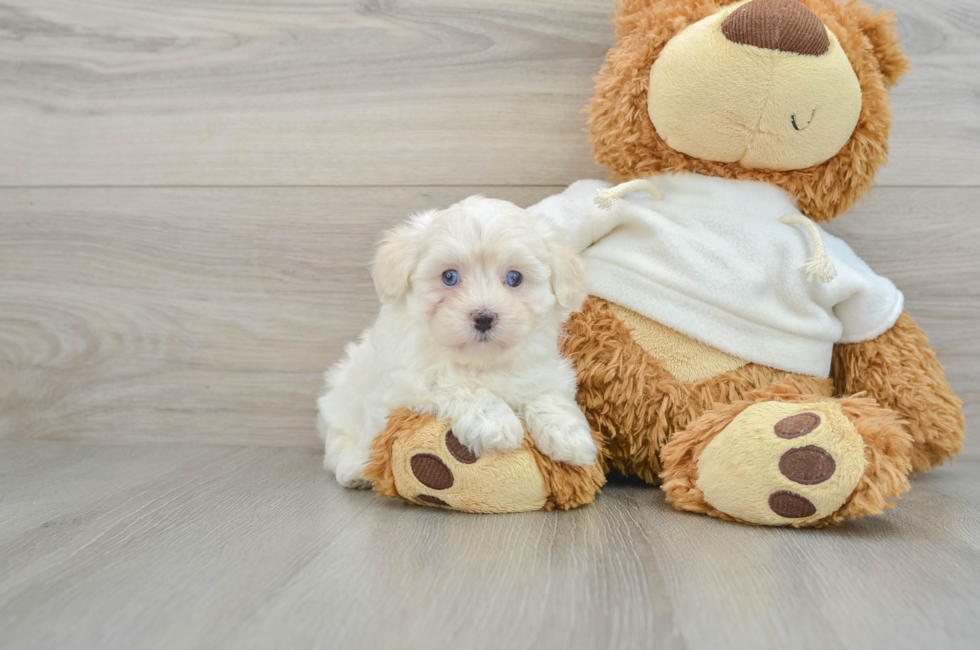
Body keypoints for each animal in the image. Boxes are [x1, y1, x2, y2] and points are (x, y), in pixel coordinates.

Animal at [320, 196, 596, 486]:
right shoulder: (406, 383)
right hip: (339, 402)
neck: (480, 360)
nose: (484, 317)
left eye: (515, 278)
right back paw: (355, 466)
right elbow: (458, 385)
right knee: (338, 442)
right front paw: (495, 423)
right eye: (449, 277)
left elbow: (547, 394)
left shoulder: (544, 370)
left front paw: (569, 435)